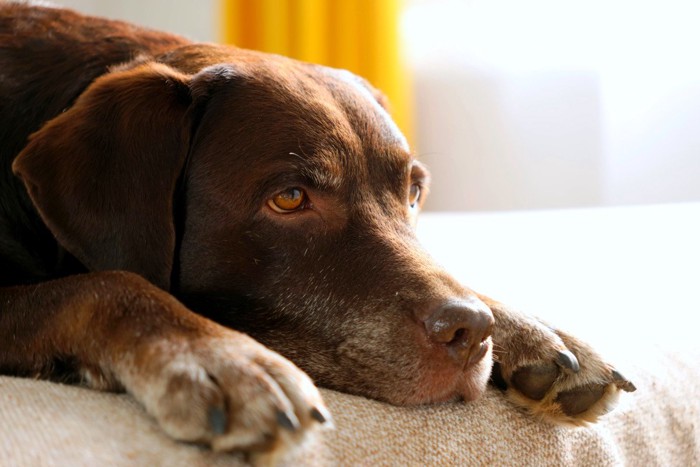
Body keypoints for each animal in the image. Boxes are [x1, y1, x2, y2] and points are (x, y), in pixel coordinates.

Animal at [0, 1, 636, 458]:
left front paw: (530, 330)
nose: (471, 331)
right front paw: (222, 358)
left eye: (414, 191)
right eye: (289, 198)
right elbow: (107, 284)